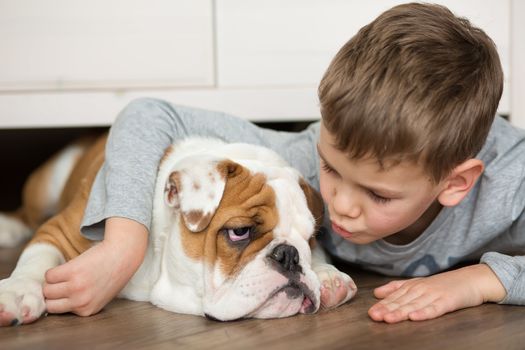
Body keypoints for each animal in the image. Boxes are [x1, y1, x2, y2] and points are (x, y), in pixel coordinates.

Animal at [0, 135, 356, 326]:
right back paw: (8, 227)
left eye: (310, 238)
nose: (290, 256)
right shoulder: (61, 230)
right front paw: (16, 292)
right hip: (48, 183)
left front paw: (327, 275)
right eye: (239, 232)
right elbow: (37, 259)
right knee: (27, 214)